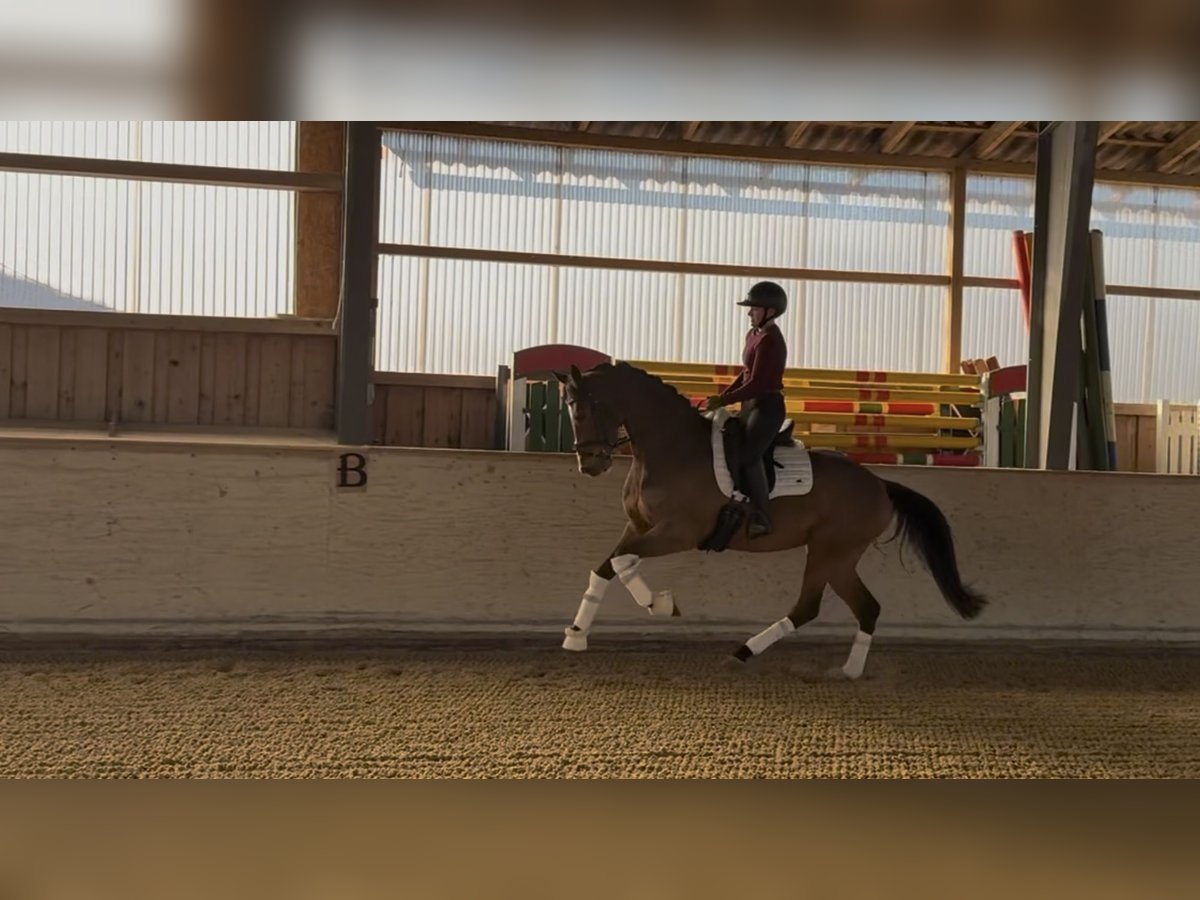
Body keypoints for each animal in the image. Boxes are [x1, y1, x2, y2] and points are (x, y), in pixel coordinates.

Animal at [554, 361, 986, 679]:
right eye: (569, 410)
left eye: (585, 408)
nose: (590, 464)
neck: (670, 448)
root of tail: (879, 483)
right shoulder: (640, 528)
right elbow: (607, 566)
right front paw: (578, 635)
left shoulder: (678, 533)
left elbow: (621, 562)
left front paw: (660, 605)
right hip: (838, 559)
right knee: (866, 608)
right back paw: (846, 671)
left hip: (830, 552)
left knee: (810, 607)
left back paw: (744, 652)